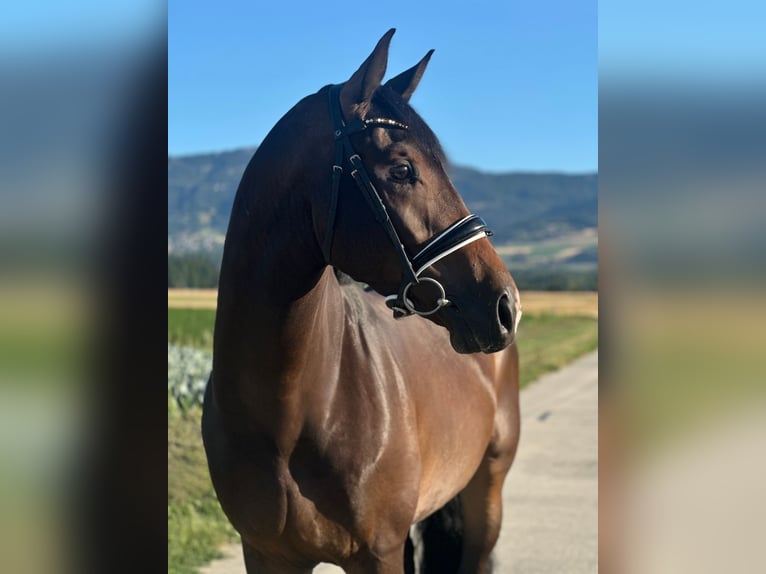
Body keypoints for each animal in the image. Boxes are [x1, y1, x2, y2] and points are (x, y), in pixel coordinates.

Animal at [202, 29, 522, 573]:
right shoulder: (265, 553)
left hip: (488, 490)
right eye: (402, 168)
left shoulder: (377, 553)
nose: (506, 304)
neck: (289, 412)